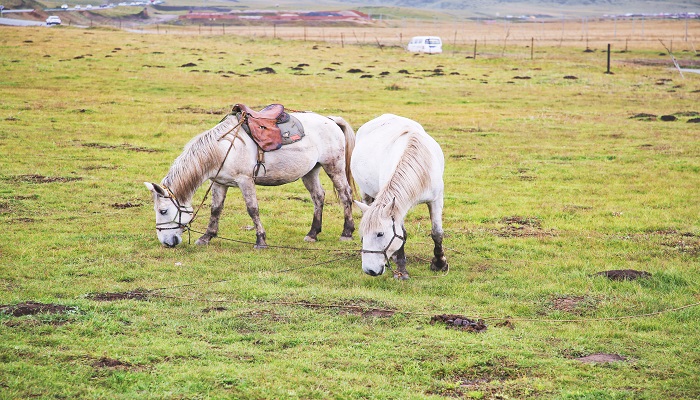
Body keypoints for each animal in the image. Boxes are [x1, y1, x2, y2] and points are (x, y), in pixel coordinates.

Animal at [144, 109, 356, 248]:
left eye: (163, 211)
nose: (166, 243)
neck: (222, 148)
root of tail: (330, 120)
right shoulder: (219, 183)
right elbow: (215, 209)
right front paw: (206, 237)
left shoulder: (245, 181)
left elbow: (252, 209)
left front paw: (260, 240)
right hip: (310, 171)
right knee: (318, 197)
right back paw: (312, 234)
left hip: (333, 167)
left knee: (345, 195)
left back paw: (346, 232)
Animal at [350, 114, 448, 279]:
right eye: (362, 235)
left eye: (380, 234)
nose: (369, 270)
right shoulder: (398, 206)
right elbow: (403, 236)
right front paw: (401, 270)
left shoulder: (435, 200)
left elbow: (437, 233)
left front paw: (440, 263)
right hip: (365, 193)